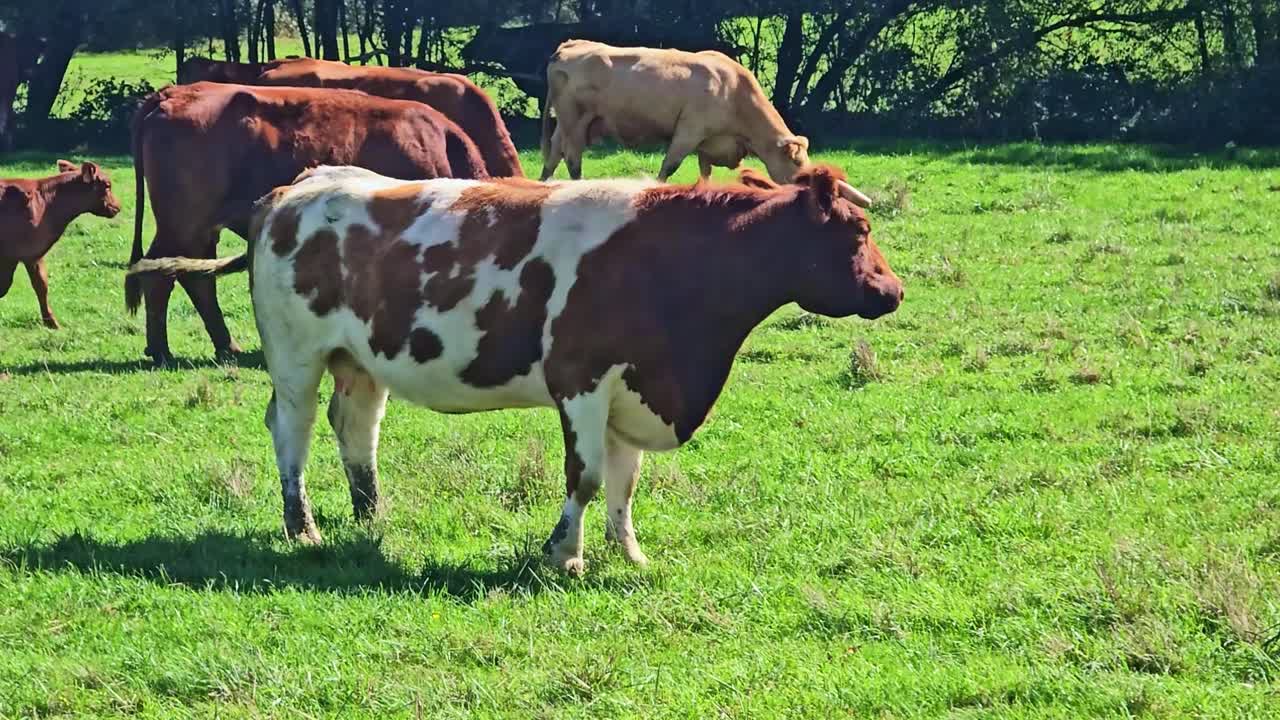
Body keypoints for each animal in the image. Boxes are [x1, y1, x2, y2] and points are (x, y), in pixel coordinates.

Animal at [2, 161, 122, 328]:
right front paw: (52, 323)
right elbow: (40, 286)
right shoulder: (30, 253)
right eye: (107, 185)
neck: (47, 204)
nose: (118, 206)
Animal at [125, 81, 490, 366]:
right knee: (163, 276)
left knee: (188, 277)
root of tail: (173, 93)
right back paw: (164, 352)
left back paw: (220, 347)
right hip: (182, 225)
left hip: (196, 230)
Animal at [127, 163, 901, 574]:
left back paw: (372, 520)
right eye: (859, 231)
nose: (893, 291)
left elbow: (624, 483)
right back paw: (303, 527)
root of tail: (293, 190)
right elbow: (585, 477)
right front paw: (565, 555)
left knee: (356, 428)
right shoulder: (580, 379)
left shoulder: (633, 387)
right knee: (294, 430)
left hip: (360, 358)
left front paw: (629, 553)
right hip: (296, 357)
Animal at [540, 40, 810, 183]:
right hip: (576, 122)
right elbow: (669, 166)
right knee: (572, 158)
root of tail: (571, 45)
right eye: (796, 161)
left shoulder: (708, 142)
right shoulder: (689, 131)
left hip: (564, 124)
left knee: (552, 156)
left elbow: (705, 173)